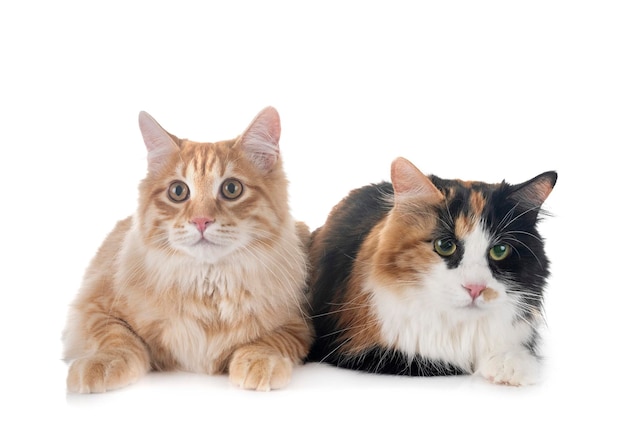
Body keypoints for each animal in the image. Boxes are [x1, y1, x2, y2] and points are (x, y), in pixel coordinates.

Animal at [63, 106, 312, 390]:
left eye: (232, 188)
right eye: (178, 191)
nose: (201, 221)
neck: (208, 286)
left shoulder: (297, 324)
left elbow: (268, 341)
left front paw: (259, 362)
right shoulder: (95, 306)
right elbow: (117, 337)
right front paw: (102, 363)